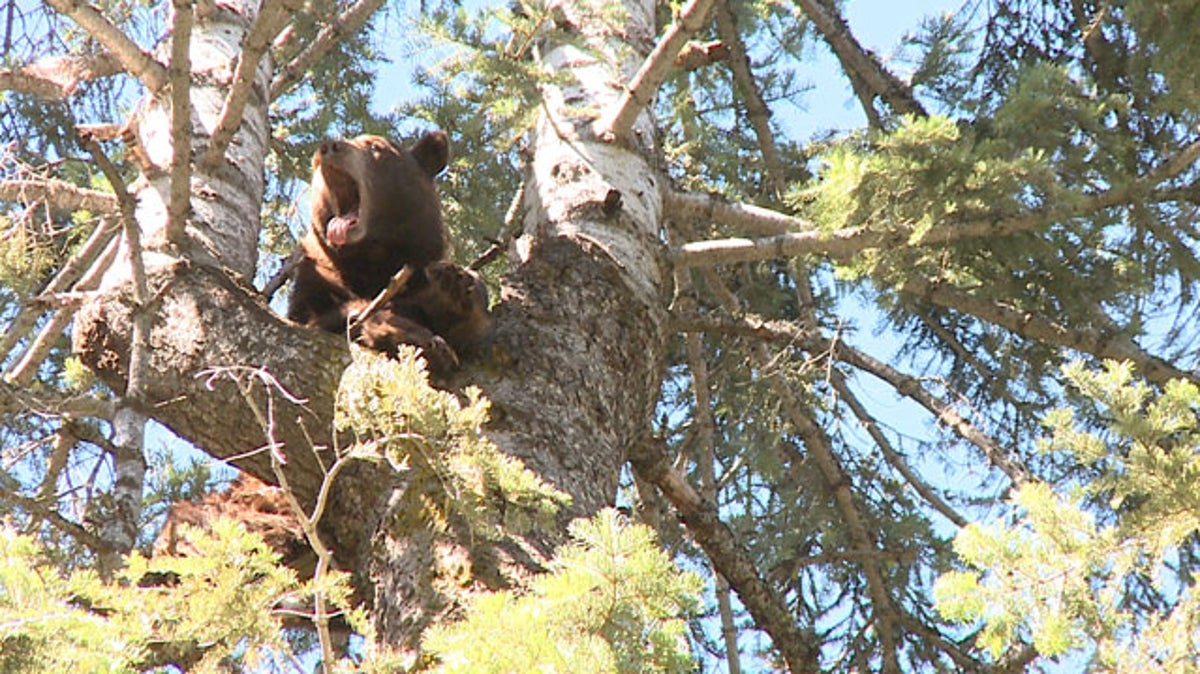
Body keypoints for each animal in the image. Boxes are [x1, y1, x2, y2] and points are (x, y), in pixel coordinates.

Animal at [289, 128, 492, 369]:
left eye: (375, 146)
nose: (329, 147)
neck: (373, 256)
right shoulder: (319, 275)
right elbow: (317, 317)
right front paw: (405, 332)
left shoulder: (419, 272)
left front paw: (452, 291)